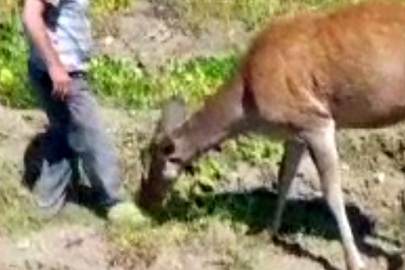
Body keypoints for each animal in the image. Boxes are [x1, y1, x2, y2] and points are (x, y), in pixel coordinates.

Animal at [137, 1, 404, 268]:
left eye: (152, 166)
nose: (143, 202)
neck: (248, 104)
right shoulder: (294, 132)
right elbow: (284, 178)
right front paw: (268, 232)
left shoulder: (317, 121)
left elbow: (331, 192)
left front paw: (355, 261)